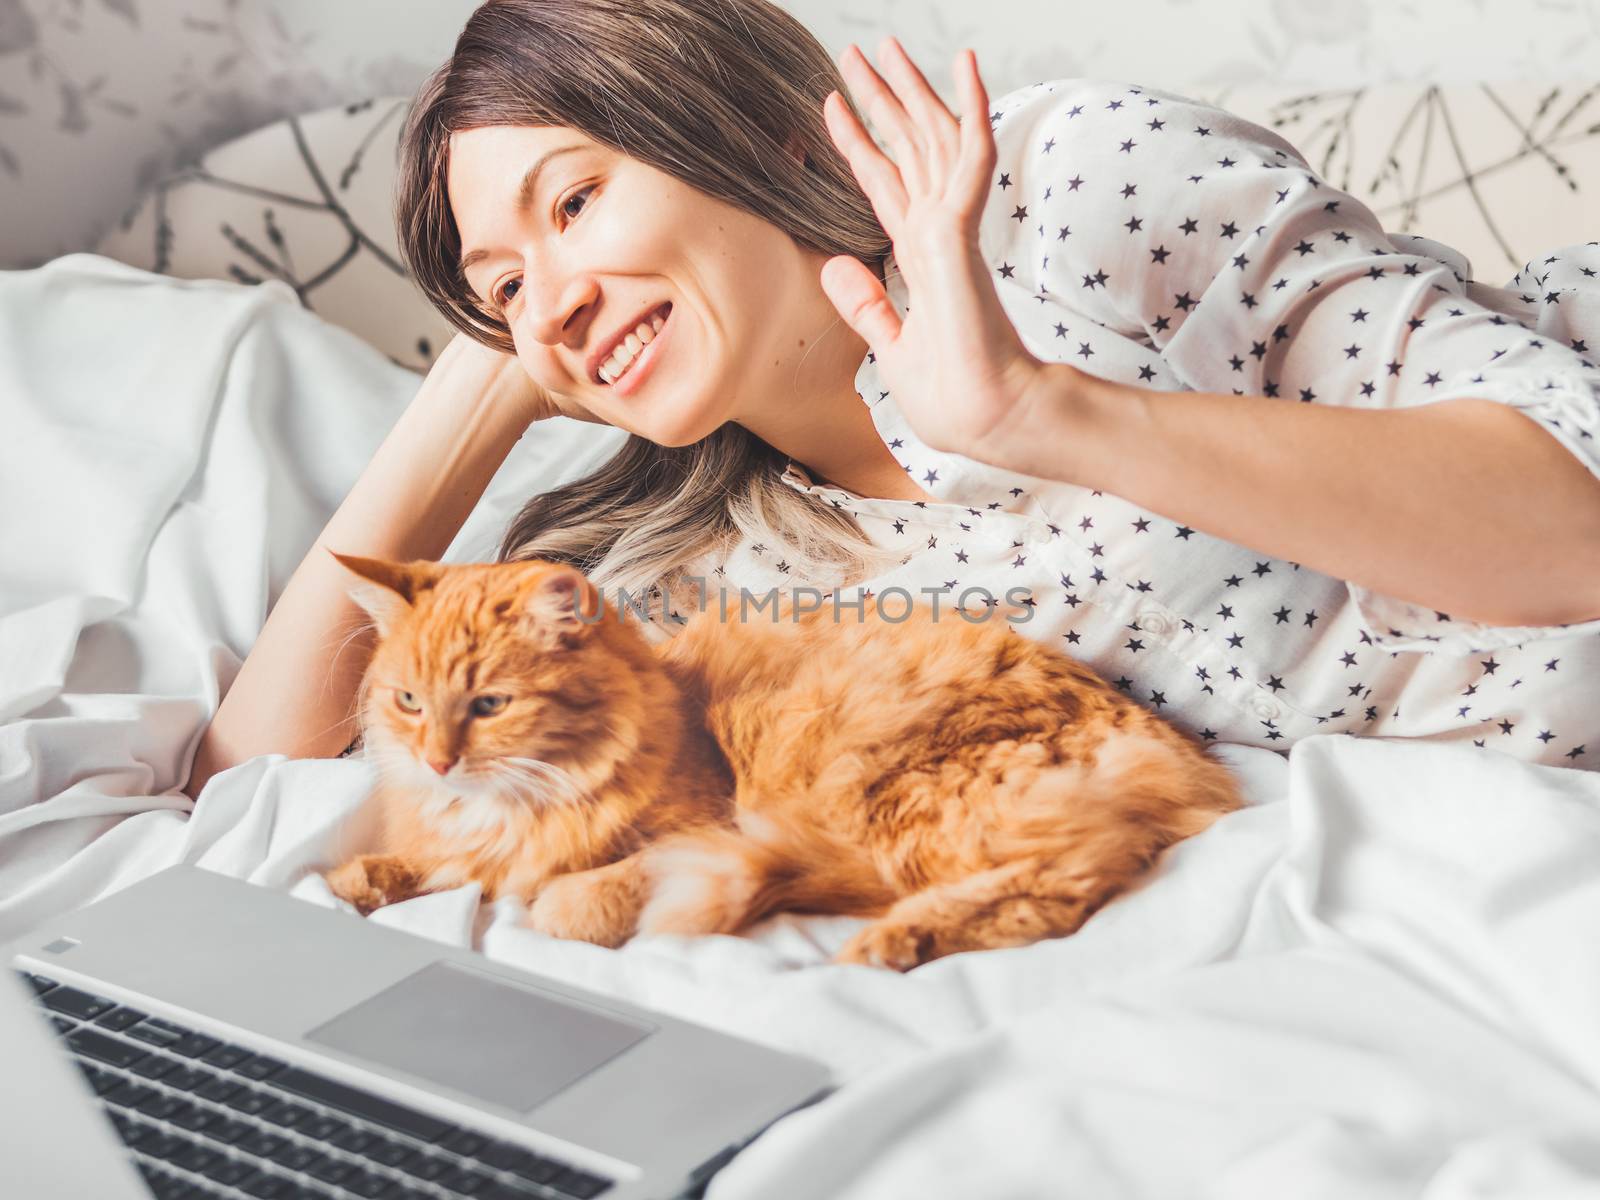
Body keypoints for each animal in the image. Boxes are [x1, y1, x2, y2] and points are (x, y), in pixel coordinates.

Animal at [324, 553, 1241, 966]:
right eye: (409, 703)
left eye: (490, 706)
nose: (437, 762)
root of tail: (1177, 753)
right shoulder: (467, 847)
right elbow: (429, 869)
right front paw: (360, 881)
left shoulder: (703, 830)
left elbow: (565, 897)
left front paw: (564, 902)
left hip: (901, 802)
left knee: (1065, 878)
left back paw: (889, 944)